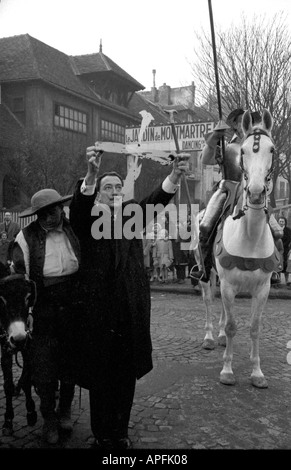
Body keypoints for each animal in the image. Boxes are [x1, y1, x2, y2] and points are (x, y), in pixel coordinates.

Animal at [198, 110, 280, 390]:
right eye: (243, 151)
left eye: (272, 149)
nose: (255, 193)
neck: (250, 237)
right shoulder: (227, 284)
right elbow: (234, 325)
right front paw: (227, 371)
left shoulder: (262, 289)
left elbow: (254, 328)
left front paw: (257, 373)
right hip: (207, 274)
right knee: (210, 301)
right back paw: (211, 337)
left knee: (223, 308)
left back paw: (220, 336)